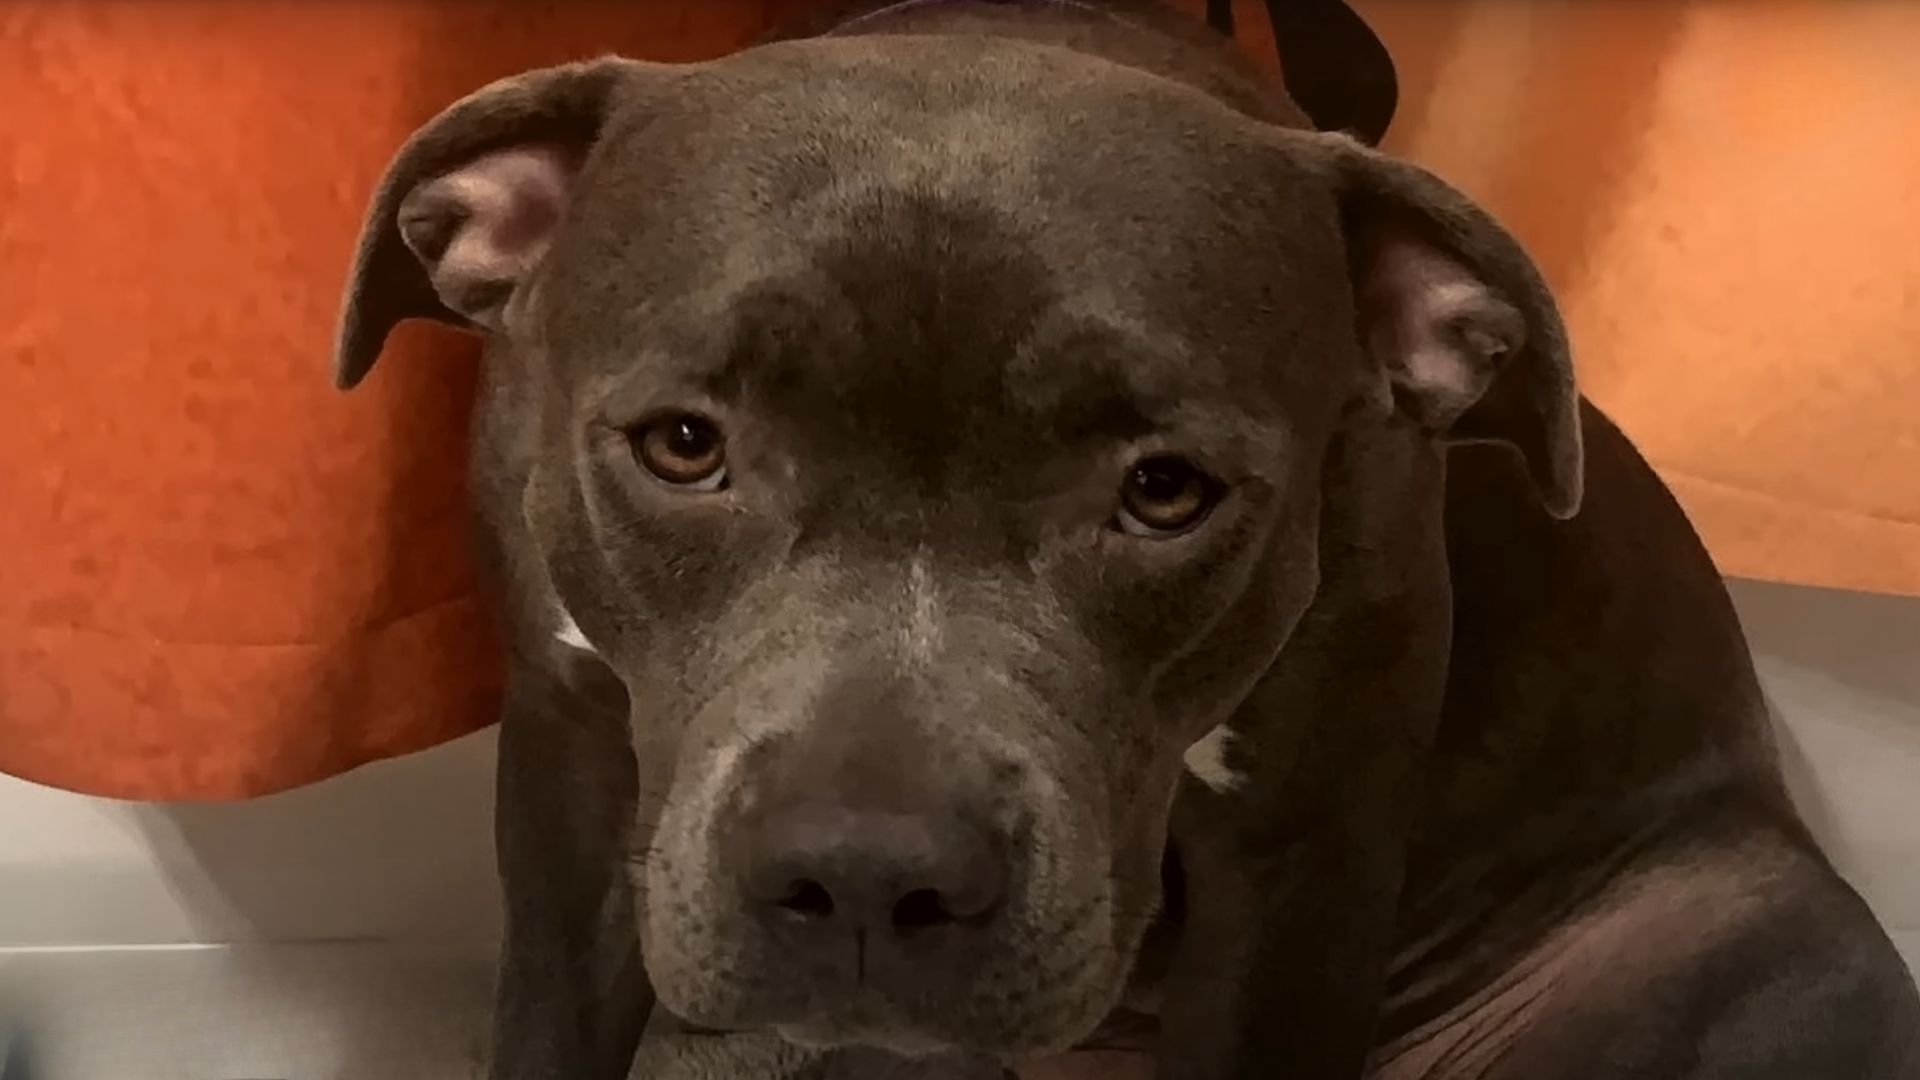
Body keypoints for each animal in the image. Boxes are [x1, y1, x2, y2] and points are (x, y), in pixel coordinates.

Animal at [334, 2, 1920, 1076]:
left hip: (1757, 928)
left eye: (1166, 490)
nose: (866, 872)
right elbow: (555, 1015)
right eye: (682, 444)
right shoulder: (572, 752)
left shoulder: (1298, 853)